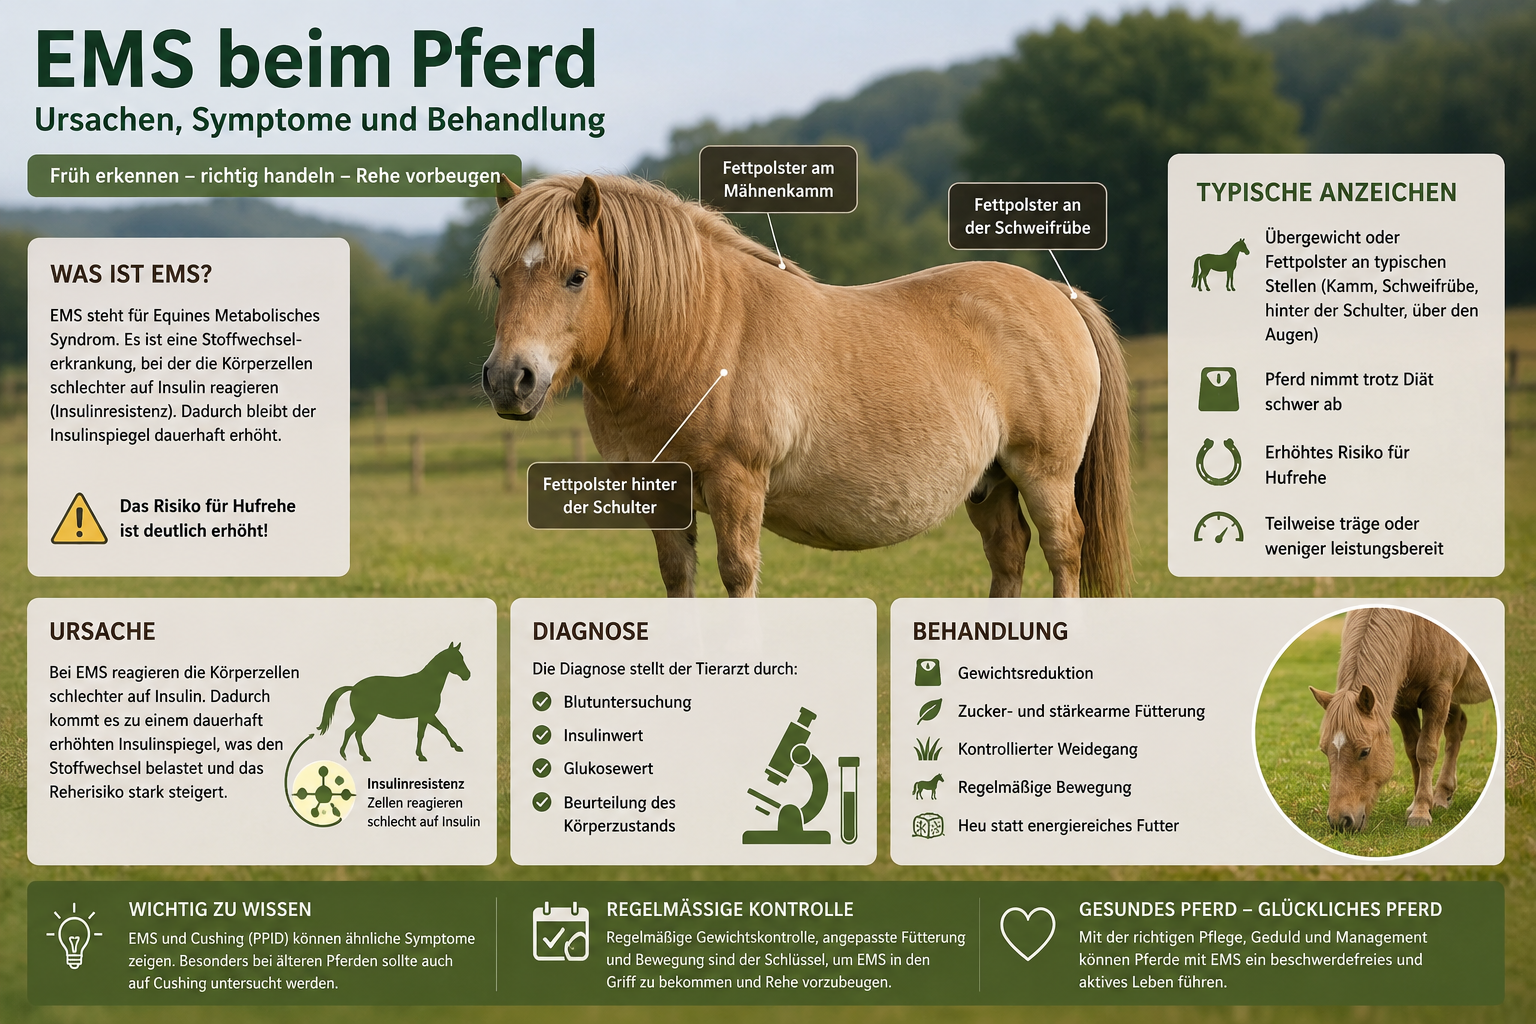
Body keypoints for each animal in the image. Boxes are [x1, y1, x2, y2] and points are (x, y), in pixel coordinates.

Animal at [318, 643, 471, 762]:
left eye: (461, 658)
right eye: (455, 658)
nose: (467, 675)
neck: (427, 683)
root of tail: (354, 687)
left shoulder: (423, 716)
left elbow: (423, 733)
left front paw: (420, 755)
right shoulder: (427, 715)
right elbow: (441, 729)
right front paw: (454, 747)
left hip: (365, 718)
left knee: (356, 733)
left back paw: (363, 756)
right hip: (366, 717)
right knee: (351, 731)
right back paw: (346, 755)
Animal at [477, 174, 1131, 599]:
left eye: (576, 276)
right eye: (500, 277)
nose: (511, 379)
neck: (696, 335)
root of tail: (1060, 294)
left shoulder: (738, 485)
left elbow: (738, 575)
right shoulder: (661, 498)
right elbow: (677, 579)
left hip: (1043, 474)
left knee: (1063, 551)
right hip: (989, 484)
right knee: (1009, 555)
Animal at [1308, 609, 1490, 831]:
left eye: (1365, 751)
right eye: (1324, 750)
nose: (1340, 822)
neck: (1414, 630)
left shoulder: (1439, 694)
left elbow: (1426, 752)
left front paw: (1420, 813)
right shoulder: (1402, 702)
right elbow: (1413, 752)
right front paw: (1419, 806)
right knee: (1456, 729)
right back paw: (1441, 796)